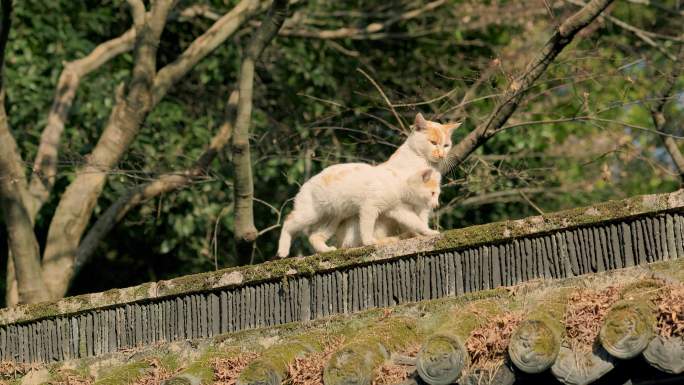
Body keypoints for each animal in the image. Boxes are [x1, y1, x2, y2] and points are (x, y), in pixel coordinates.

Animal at [276, 165, 440, 258]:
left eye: (437, 194)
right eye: (433, 193)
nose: (437, 204)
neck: (397, 182)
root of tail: (304, 185)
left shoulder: (398, 209)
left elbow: (416, 222)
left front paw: (429, 232)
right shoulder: (369, 207)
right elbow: (366, 227)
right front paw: (368, 242)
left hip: (332, 218)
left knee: (314, 236)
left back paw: (327, 250)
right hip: (310, 213)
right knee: (288, 221)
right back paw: (283, 251)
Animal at [332, 112, 460, 248]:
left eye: (446, 146)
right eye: (433, 142)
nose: (442, 155)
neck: (426, 164)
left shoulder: (424, 204)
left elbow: (421, 220)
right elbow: (412, 221)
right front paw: (415, 235)